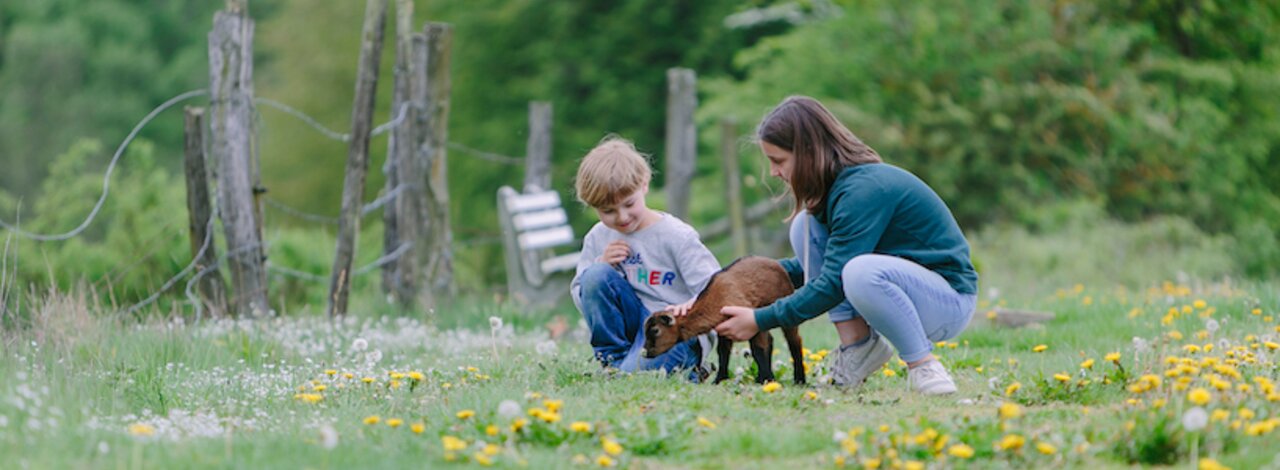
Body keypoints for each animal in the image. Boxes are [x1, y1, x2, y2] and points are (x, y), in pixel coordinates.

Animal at [637, 256, 798, 384]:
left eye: (655, 330)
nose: (645, 353)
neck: (717, 297)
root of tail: (778, 265)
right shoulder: (724, 328)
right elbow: (723, 352)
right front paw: (720, 380)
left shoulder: (750, 321)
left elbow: (758, 350)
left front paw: (766, 379)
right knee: (770, 340)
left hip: (784, 303)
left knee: (793, 341)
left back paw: (799, 379)